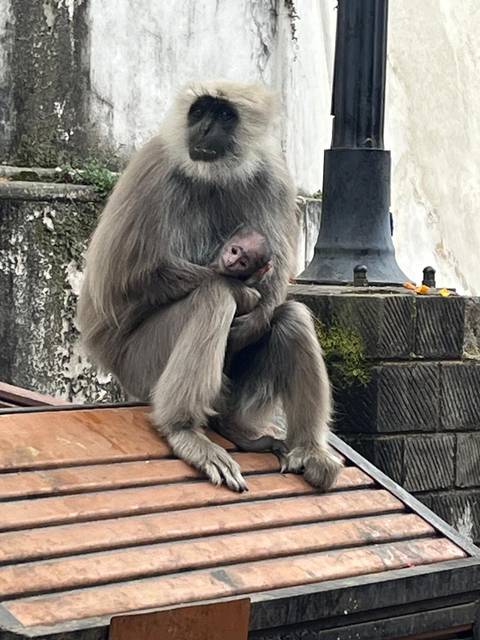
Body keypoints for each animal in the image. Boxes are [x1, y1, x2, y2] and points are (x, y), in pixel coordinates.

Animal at [77, 80, 342, 493]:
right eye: (200, 112)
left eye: (223, 116)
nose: (202, 129)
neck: (215, 175)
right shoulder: (154, 166)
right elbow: (117, 285)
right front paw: (242, 293)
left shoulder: (273, 175)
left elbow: (276, 283)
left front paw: (256, 314)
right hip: (140, 365)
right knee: (213, 298)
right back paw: (182, 429)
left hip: (235, 393)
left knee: (293, 317)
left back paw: (299, 447)